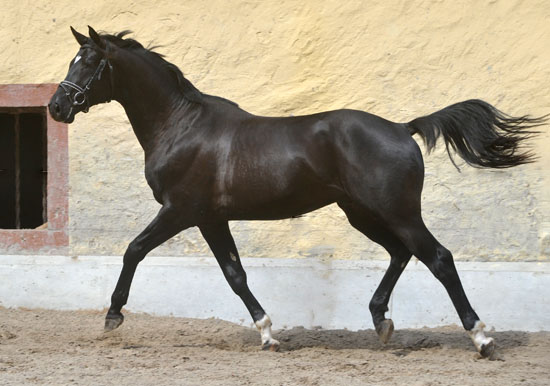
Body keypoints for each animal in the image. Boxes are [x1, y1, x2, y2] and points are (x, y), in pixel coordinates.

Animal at [48, 27, 548, 358]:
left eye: (89, 63)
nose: (57, 106)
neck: (180, 125)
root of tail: (402, 128)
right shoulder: (212, 218)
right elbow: (235, 275)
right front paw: (268, 333)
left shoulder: (182, 210)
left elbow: (134, 249)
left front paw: (113, 316)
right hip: (362, 212)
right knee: (401, 253)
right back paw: (382, 321)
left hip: (397, 211)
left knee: (438, 258)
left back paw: (481, 337)